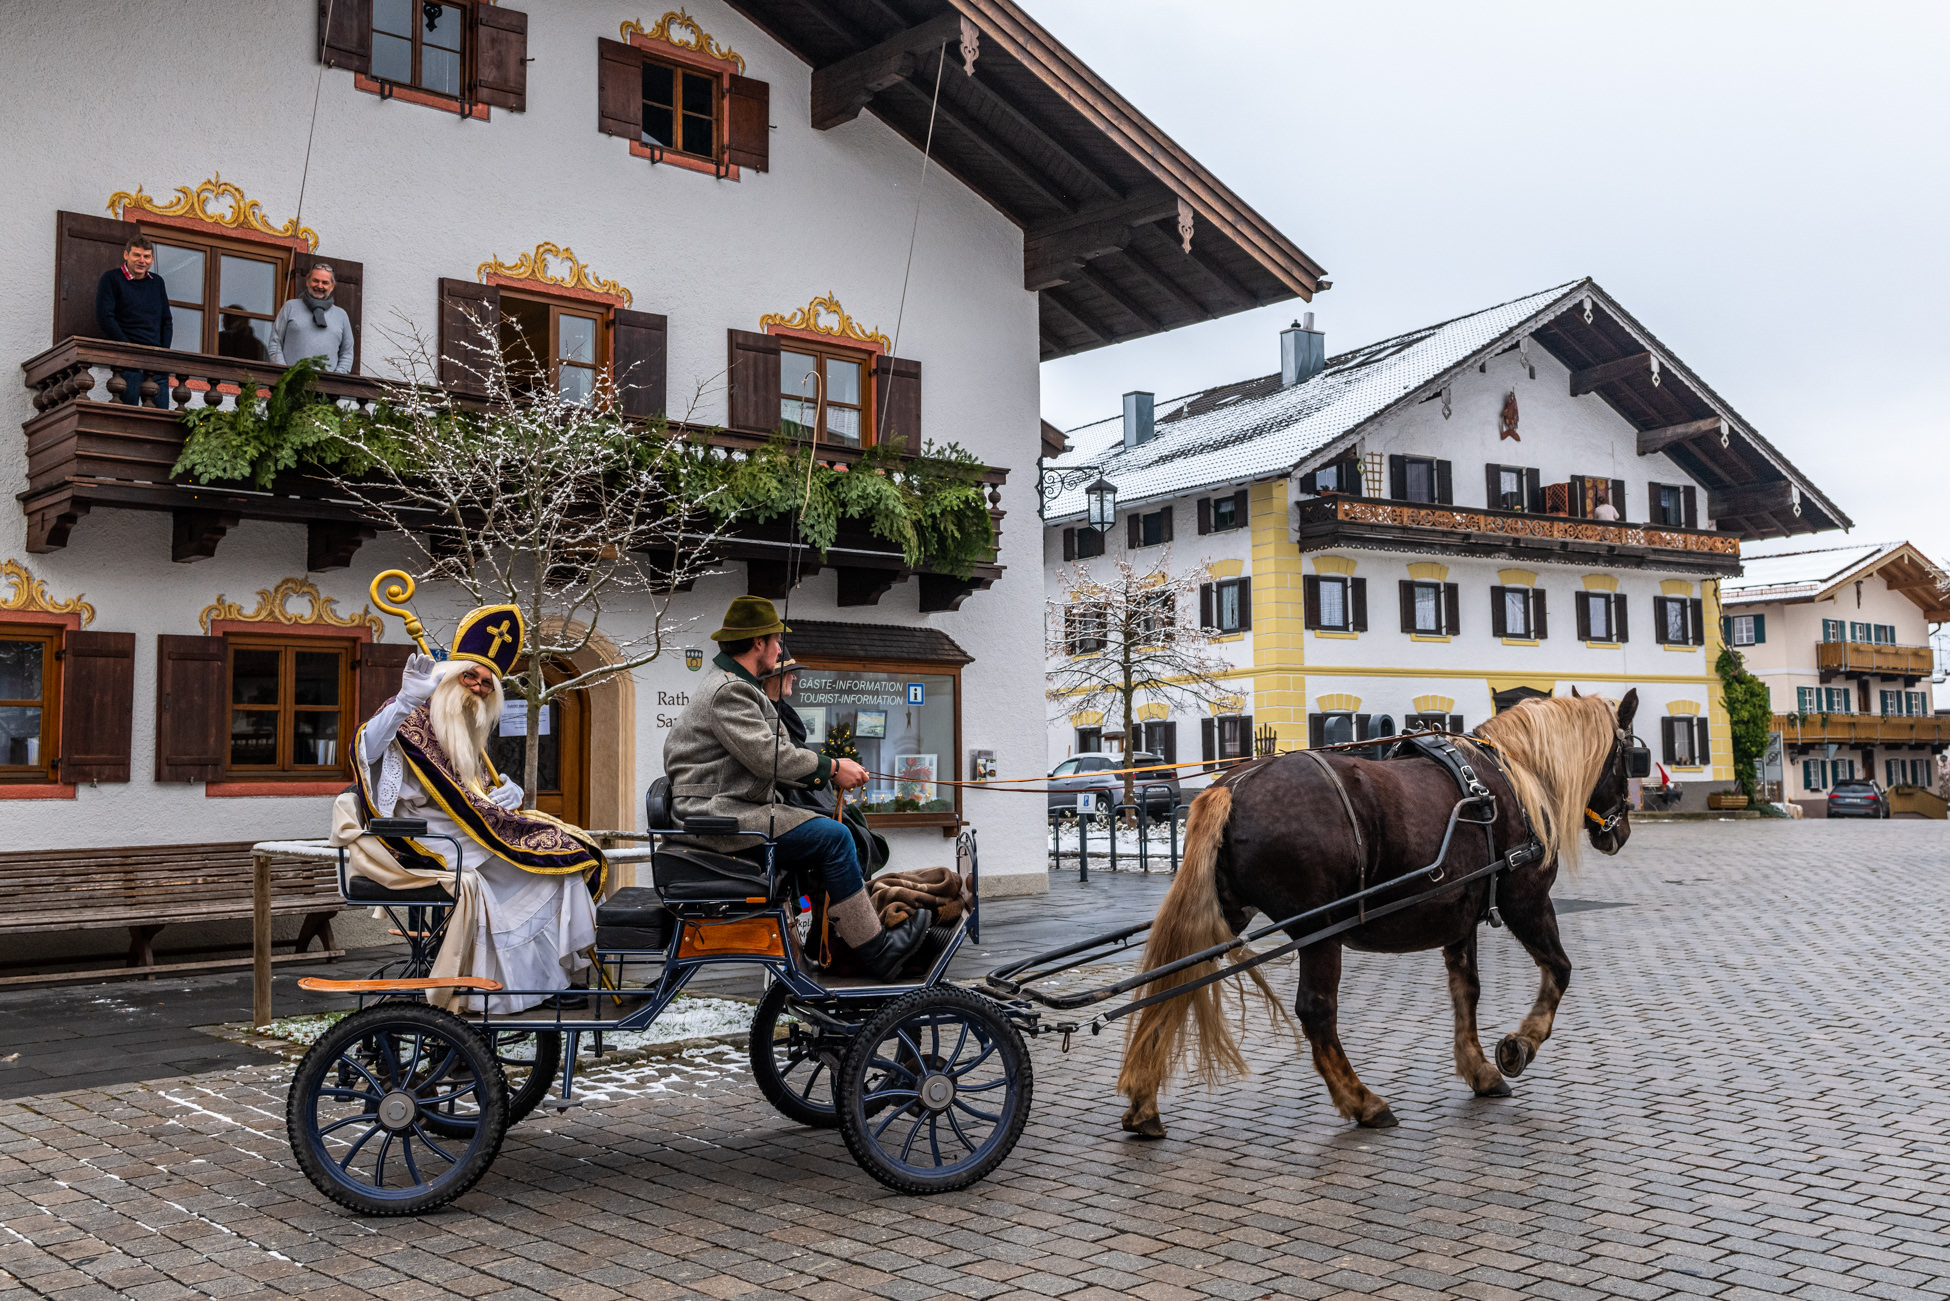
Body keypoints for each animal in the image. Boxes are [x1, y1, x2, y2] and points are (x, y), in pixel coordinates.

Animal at [1116, 689, 1640, 1137]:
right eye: (1627, 755)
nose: (1621, 832)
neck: (1513, 778)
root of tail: (1235, 786)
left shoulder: (1459, 915)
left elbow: (1466, 992)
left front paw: (1478, 1069)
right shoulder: (1525, 901)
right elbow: (1559, 970)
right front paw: (1519, 1046)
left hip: (1228, 913)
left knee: (1174, 986)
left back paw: (1144, 1103)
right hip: (1319, 928)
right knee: (1316, 1010)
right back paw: (1362, 1100)